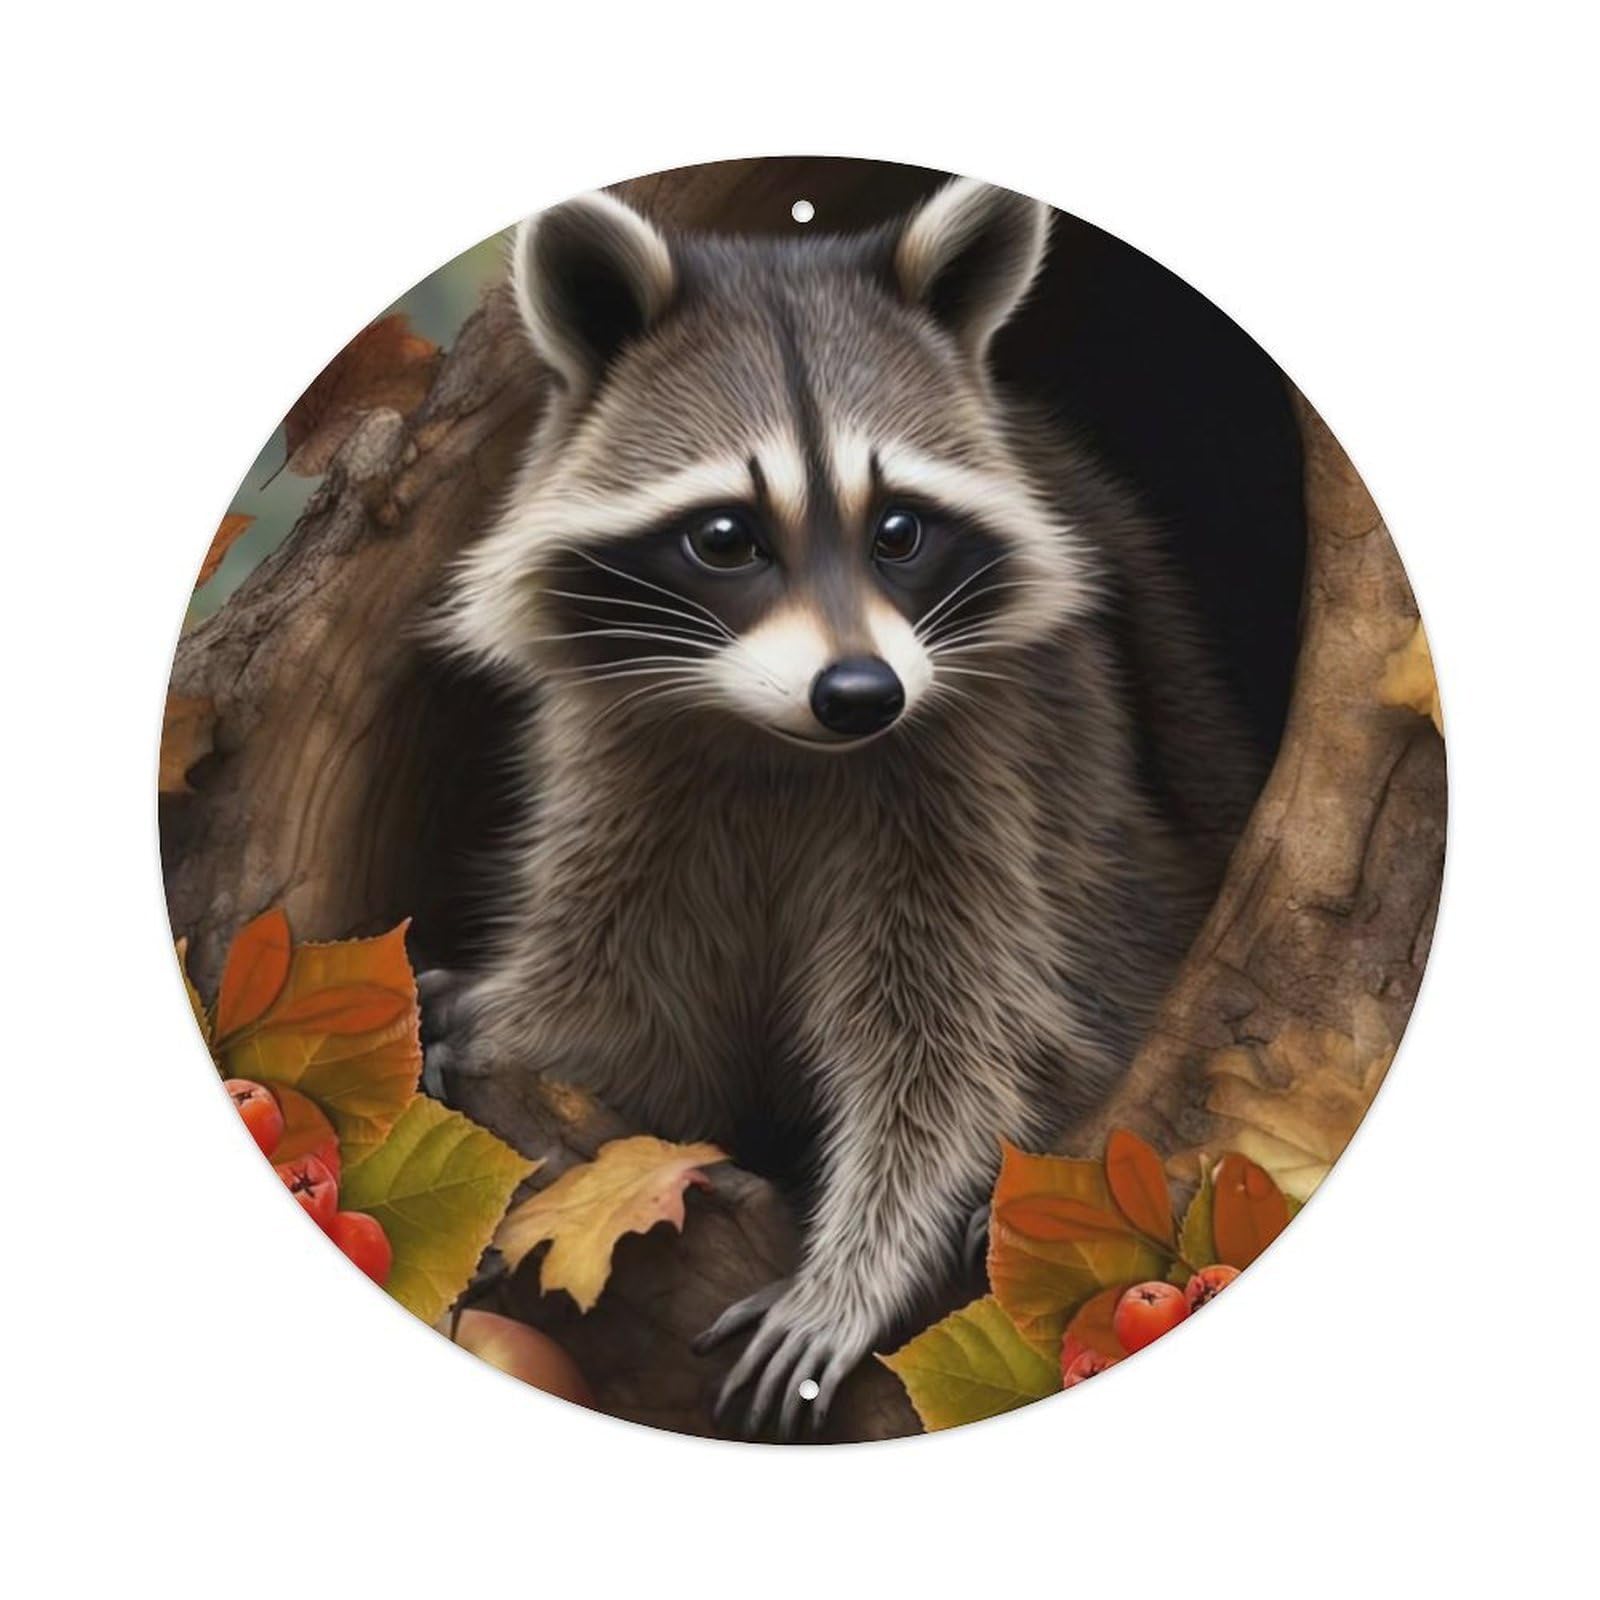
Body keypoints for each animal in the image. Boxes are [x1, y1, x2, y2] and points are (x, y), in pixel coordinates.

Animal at [431, 177, 1262, 1437]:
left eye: (899, 529)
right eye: (725, 537)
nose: (861, 693)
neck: (781, 741)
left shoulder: (984, 769)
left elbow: (948, 1032)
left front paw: (865, 1259)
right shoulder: (623, 771)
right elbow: (632, 1005)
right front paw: (504, 1018)